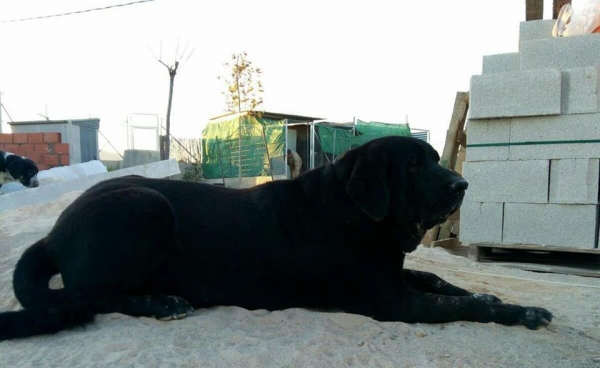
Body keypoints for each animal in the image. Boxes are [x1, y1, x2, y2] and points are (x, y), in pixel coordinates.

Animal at [0, 137, 552, 340]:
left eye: (437, 158)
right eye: (415, 164)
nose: (462, 184)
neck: (355, 213)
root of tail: (53, 231)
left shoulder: (395, 275)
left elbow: (443, 282)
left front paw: (495, 296)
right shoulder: (389, 299)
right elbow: (462, 303)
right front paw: (517, 311)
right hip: (145, 205)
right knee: (89, 296)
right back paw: (161, 302)